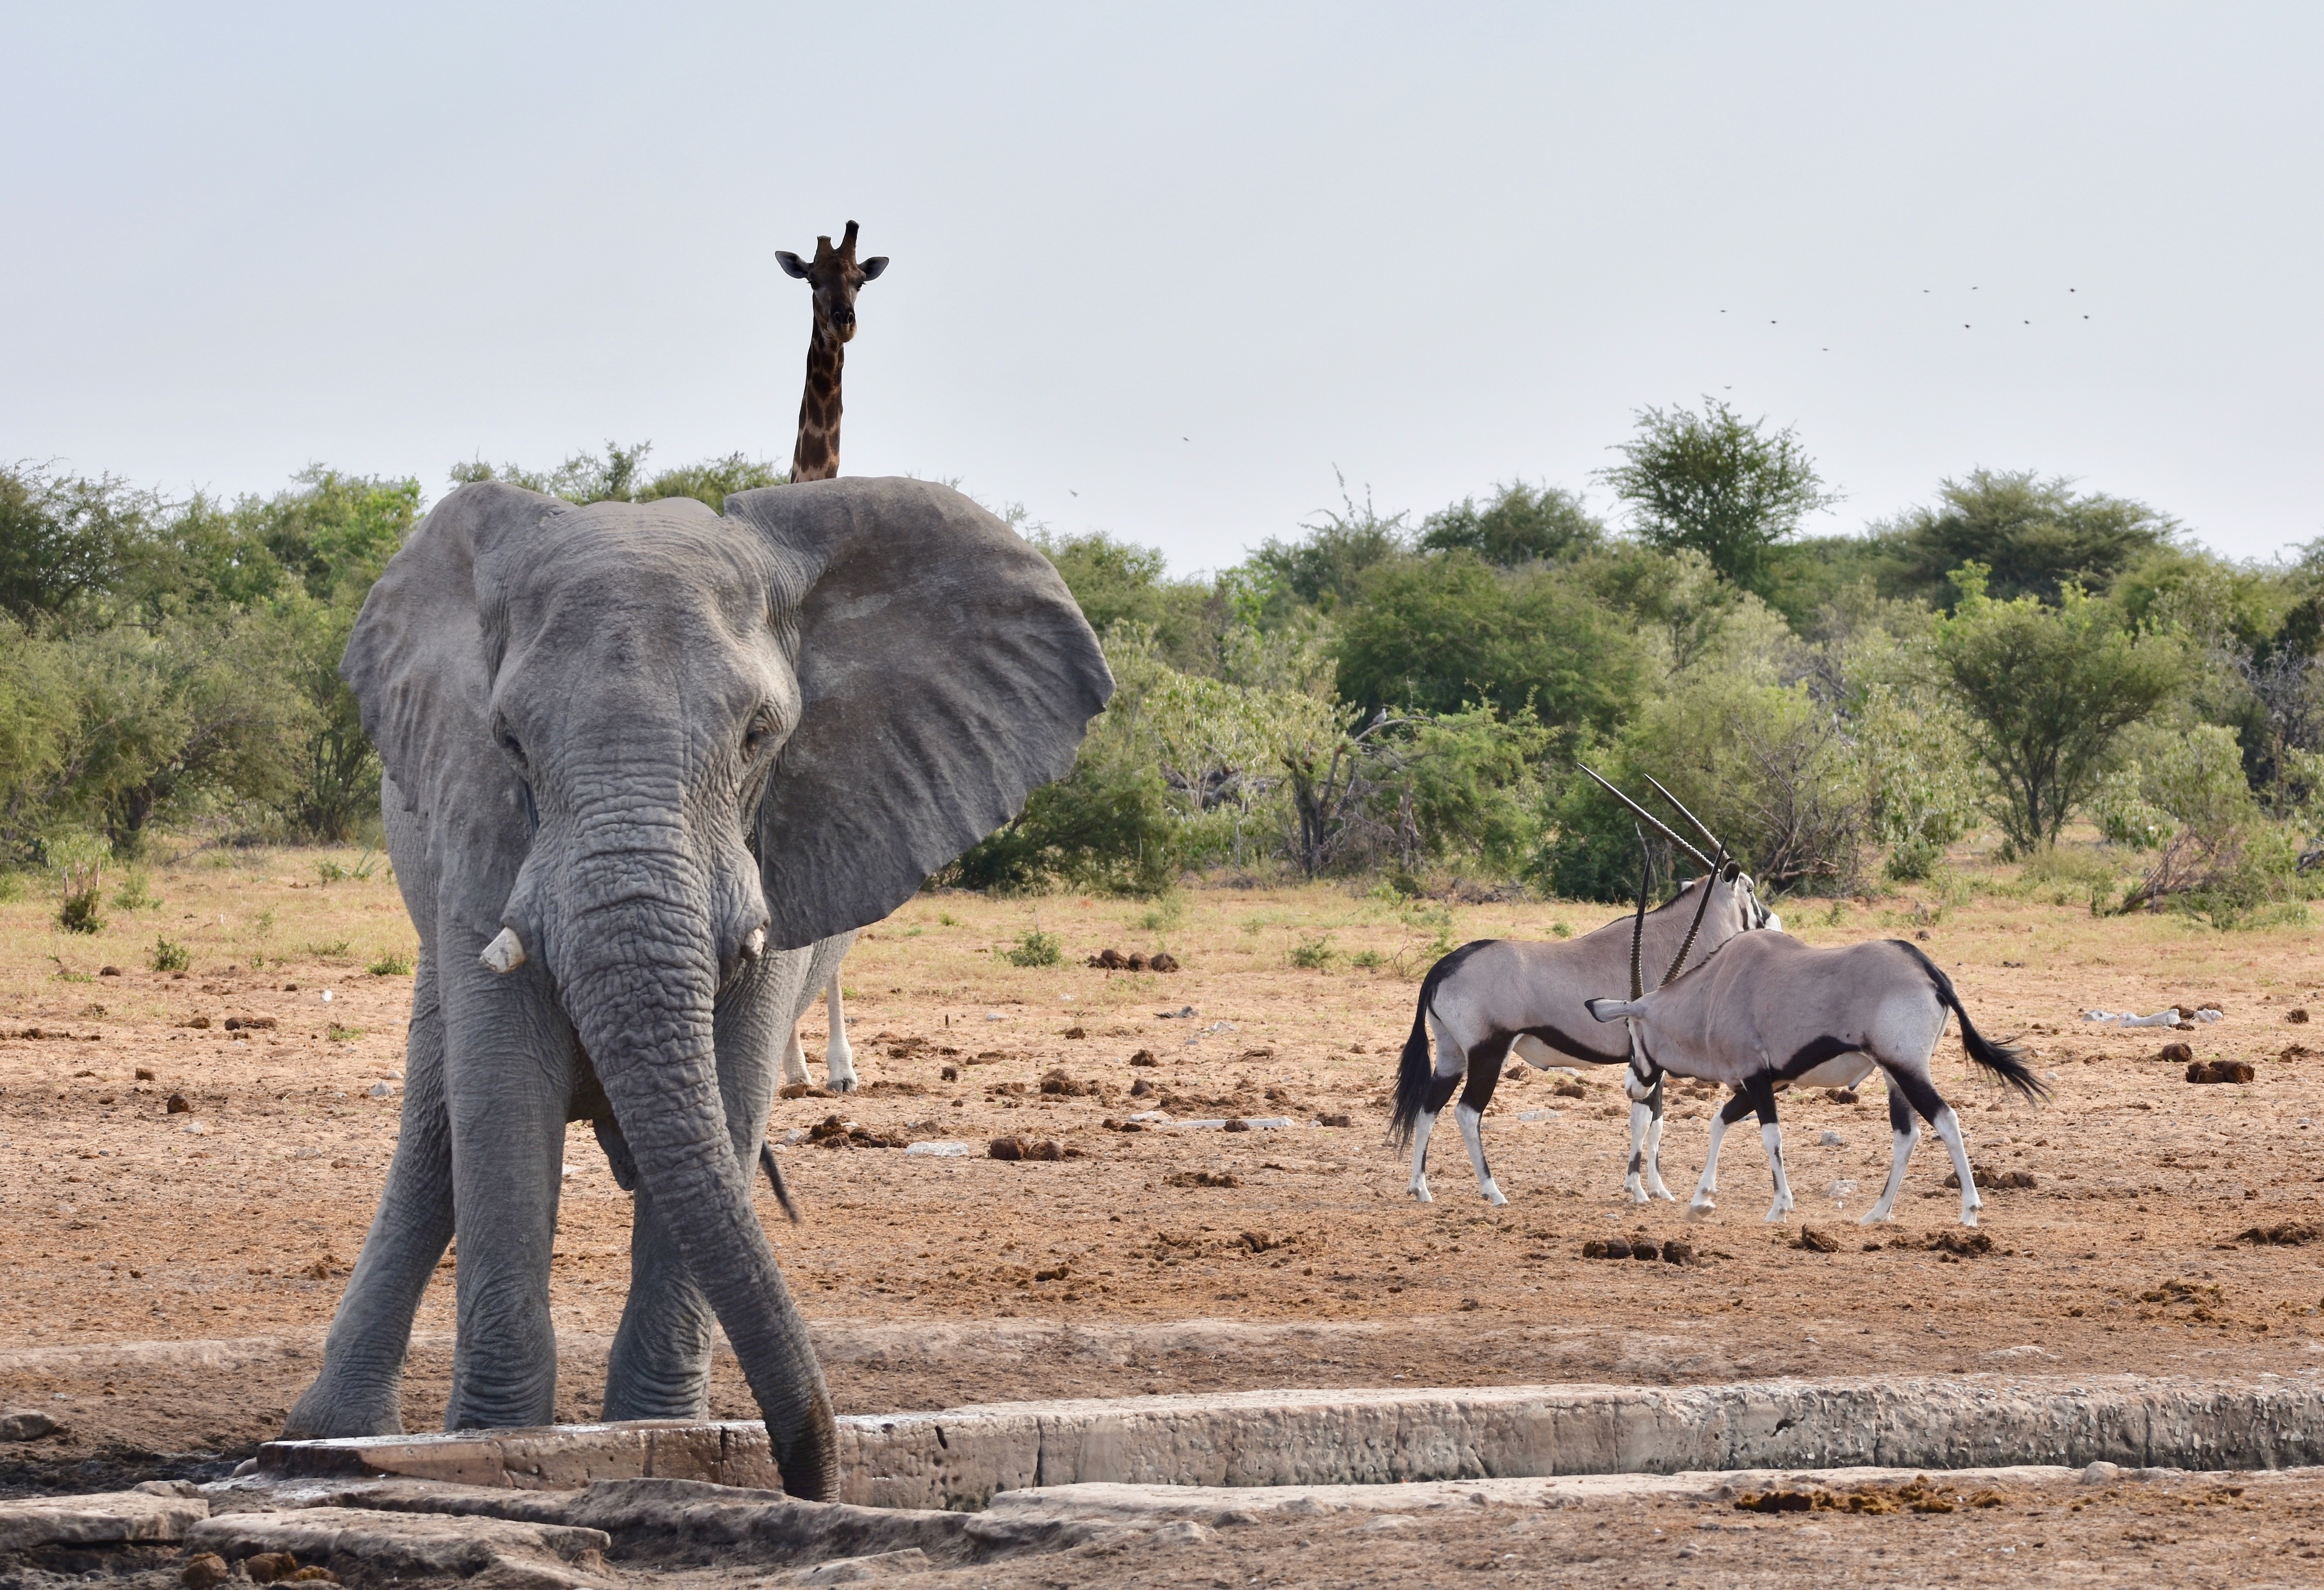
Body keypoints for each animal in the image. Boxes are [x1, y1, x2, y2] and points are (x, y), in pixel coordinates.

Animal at [277, 479, 1111, 1496]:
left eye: (759, 736)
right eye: (508, 740)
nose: (812, 1478)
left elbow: (732, 1084)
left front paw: (661, 1441)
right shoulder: (475, 828)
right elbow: (503, 1100)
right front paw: (499, 1445)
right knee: (438, 1132)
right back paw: (331, 1438)